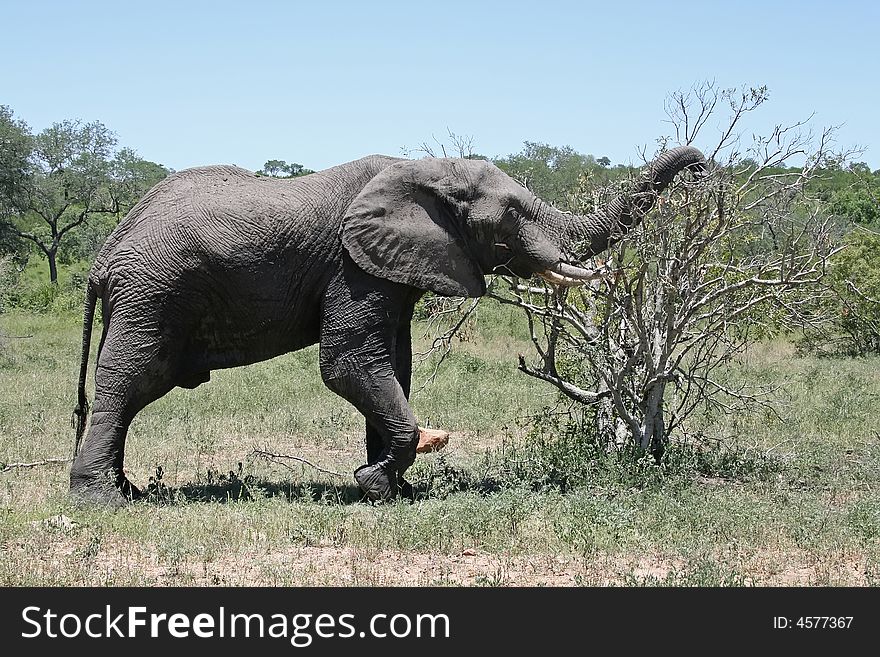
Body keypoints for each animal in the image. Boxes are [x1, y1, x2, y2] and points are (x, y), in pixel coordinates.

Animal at [72, 144, 708, 504]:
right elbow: (350, 363)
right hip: (153, 293)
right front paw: (374, 483)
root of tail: (103, 257)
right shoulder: (353, 263)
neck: (425, 172)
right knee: (130, 379)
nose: (702, 166)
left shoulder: (392, 265)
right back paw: (103, 502)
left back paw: (124, 489)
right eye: (512, 215)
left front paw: (394, 489)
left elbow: (393, 365)